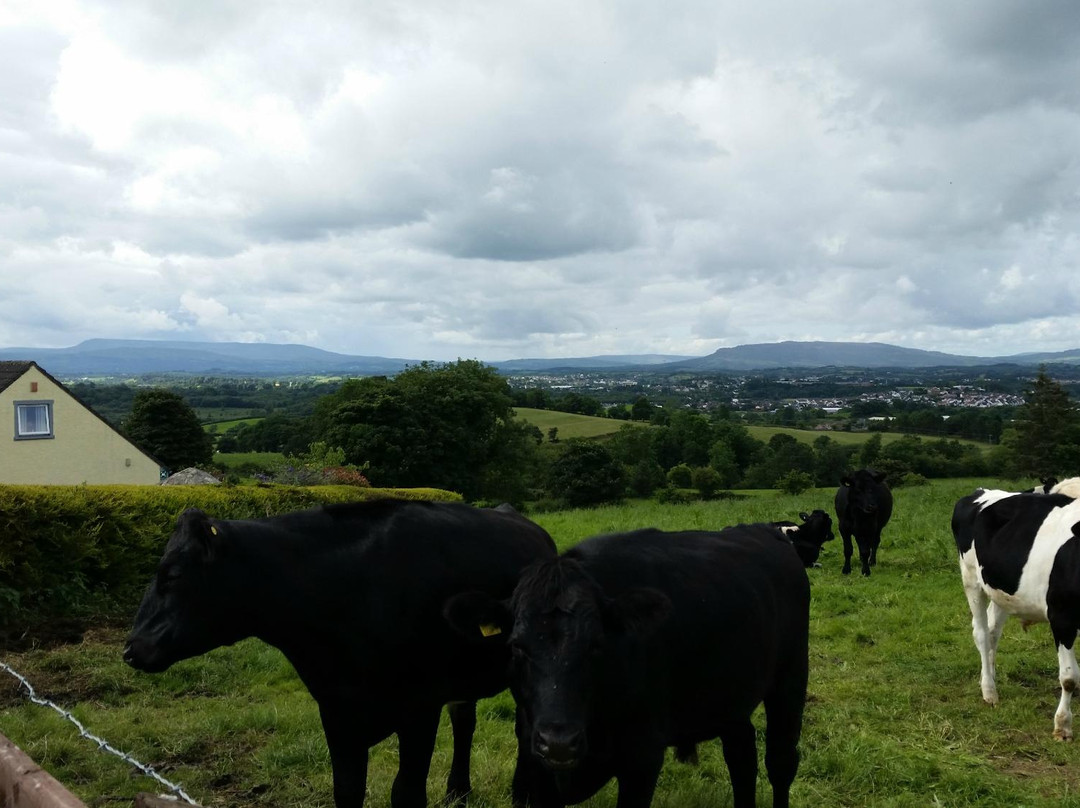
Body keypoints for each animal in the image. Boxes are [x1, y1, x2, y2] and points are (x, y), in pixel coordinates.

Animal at [126, 499, 557, 808]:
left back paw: (523, 794)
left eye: (172, 575)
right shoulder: (336, 710)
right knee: (465, 721)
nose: (130, 648)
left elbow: (406, 794)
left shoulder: (419, 707)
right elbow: (347, 791)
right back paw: (457, 793)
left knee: (521, 728)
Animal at [447, 524, 812, 808]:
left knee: (780, 761)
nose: (559, 742)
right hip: (728, 696)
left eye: (596, 645)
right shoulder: (535, 766)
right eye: (517, 647)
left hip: (791, 678)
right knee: (742, 757)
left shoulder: (642, 758)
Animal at [950, 483, 1080, 743]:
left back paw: (989, 676)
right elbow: (1069, 677)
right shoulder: (1062, 617)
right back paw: (989, 691)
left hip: (1001, 588)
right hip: (971, 579)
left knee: (992, 633)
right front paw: (1063, 725)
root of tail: (981, 491)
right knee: (981, 633)